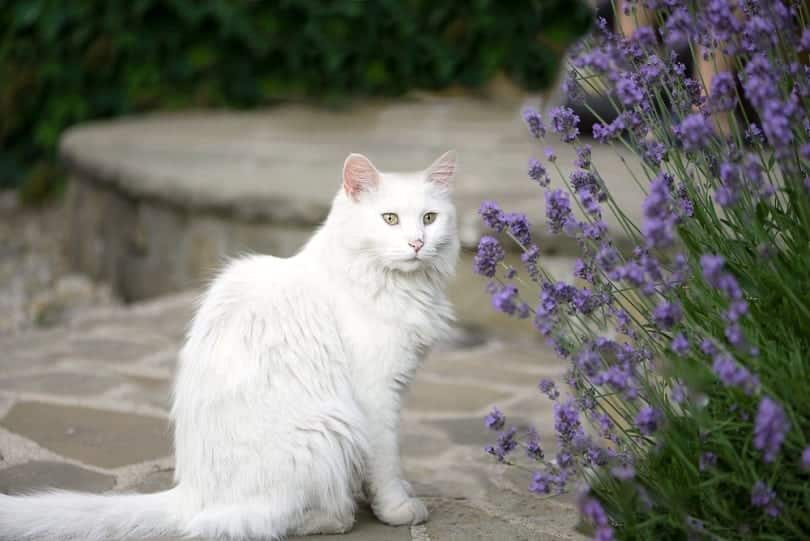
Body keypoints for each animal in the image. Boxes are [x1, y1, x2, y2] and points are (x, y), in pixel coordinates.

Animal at [0, 150, 458, 536]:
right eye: (390, 219)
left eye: (429, 218)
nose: (417, 243)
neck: (395, 286)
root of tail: (190, 492)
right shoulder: (377, 397)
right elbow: (386, 464)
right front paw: (398, 509)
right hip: (329, 429)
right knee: (260, 520)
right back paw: (337, 516)